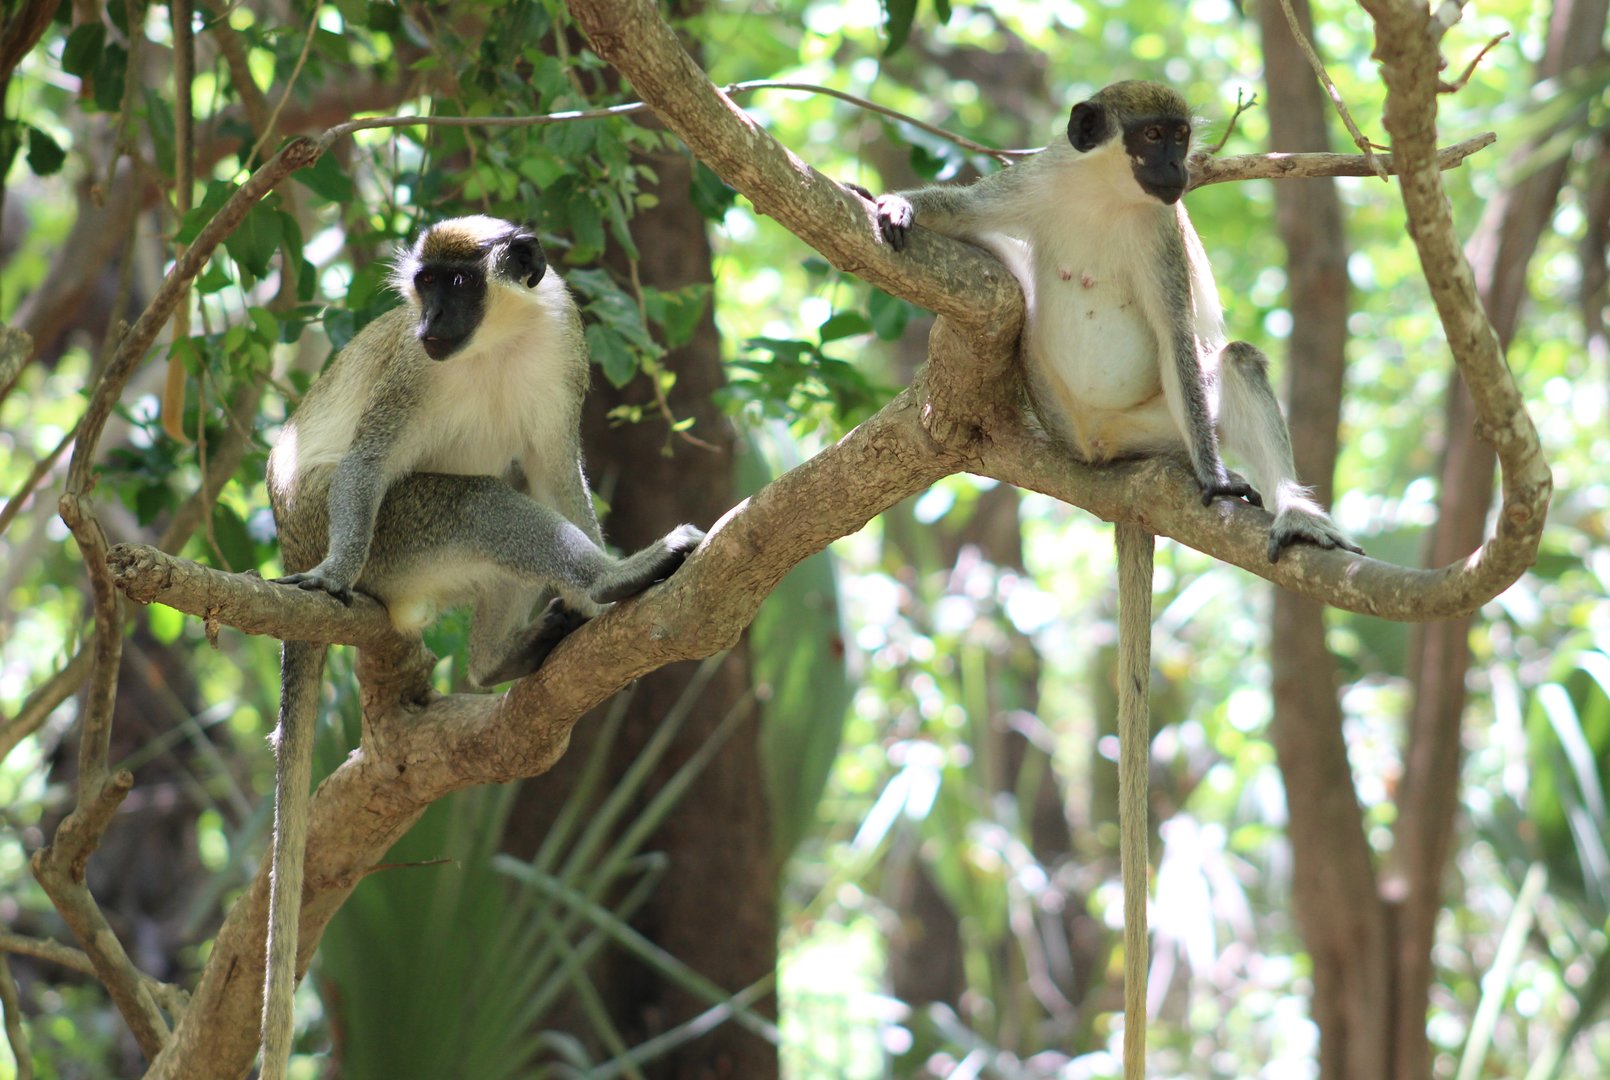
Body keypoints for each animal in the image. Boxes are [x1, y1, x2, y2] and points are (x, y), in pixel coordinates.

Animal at [258, 215, 704, 1078]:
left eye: (458, 284)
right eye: (425, 286)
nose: (431, 323)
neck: (497, 340)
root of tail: (292, 532)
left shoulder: (563, 346)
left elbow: (555, 469)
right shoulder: (407, 378)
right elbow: (366, 464)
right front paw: (335, 573)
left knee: (515, 495)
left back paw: (511, 654)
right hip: (396, 541)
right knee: (479, 503)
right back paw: (610, 583)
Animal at [855, 80, 1361, 1079]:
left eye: (1182, 137)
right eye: (1152, 136)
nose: (1175, 168)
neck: (1103, 197)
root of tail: (1106, 455)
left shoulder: (1161, 243)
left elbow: (1185, 343)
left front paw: (1221, 478)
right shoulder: (1040, 180)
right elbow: (969, 213)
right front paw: (899, 206)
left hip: (1150, 424)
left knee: (1229, 360)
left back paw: (1278, 502)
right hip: (1060, 405)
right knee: (1017, 289)